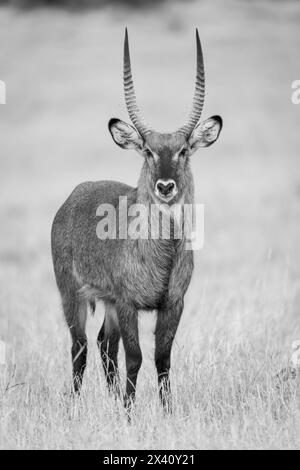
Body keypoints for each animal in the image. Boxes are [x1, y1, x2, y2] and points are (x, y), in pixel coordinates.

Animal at [50, 29, 221, 410]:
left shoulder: (172, 304)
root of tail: (72, 197)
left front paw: (166, 411)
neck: (163, 251)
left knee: (103, 343)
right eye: (147, 151)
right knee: (80, 346)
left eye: (183, 151)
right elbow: (136, 358)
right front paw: (129, 414)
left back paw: (112, 398)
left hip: (109, 305)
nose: (166, 186)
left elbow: (162, 358)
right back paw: (76, 406)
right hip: (72, 293)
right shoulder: (128, 303)